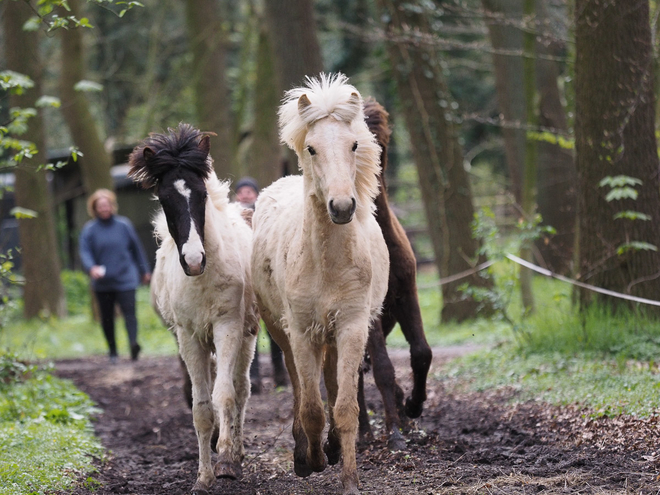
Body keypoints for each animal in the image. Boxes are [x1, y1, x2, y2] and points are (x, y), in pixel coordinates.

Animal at [127, 123, 258, 495]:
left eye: (201, 195)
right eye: (165, 199)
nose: (194, 259)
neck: (203, 279)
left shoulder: (228, 327)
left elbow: (225, 395)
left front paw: (226, 458)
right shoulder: (188, 337)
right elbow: (201, 407)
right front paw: (203, 477)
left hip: (246, 335)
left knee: (241, 388)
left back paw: (234, 454)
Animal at [250, 74, 390, 495]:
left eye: (354, 144)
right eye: (311, 148)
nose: (342, 207)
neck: (327, 263)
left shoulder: (351, 326)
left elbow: (344, 407)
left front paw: (349, 479)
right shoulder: (300, 330)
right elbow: (311, 407)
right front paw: (310, 460)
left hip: (330, 335)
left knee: (328, 382)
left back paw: (330, 448)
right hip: (284, 332)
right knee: (300, 386)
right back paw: (305, 452)